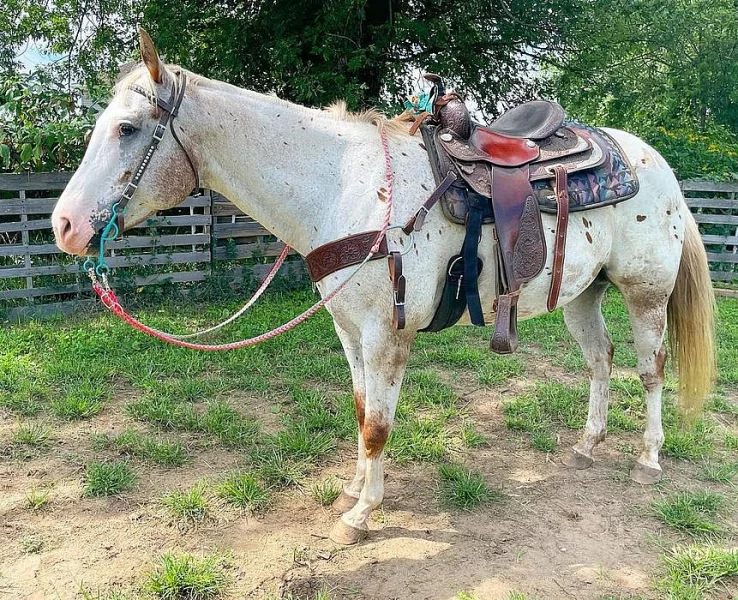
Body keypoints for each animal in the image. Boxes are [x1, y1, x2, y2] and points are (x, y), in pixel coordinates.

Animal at [52, 30, 715, 545]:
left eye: (128, 129)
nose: (64, 226)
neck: (340, 186)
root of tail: (657, 164)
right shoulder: (349, 329)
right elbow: (360, 408)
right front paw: (352, 490)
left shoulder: (386, 333)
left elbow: (378, 425)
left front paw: (362, 517)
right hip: (581, 292)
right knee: (601, 360)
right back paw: (588, 444)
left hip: (644, 293)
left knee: (650, 368)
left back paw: (648, 457)